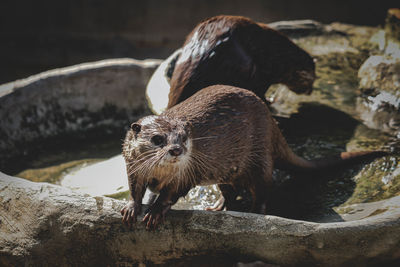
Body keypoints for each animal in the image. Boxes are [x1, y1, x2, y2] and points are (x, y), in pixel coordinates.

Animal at [168, 14, 316, 108]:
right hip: (245, 67)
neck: (278, 57)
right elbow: (262, 91)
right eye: (311, 81)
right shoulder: (265, 75)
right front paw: (270, 101)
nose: (310, 91)